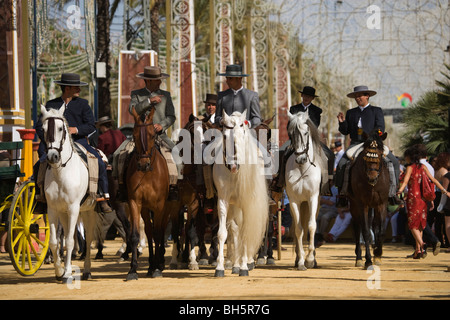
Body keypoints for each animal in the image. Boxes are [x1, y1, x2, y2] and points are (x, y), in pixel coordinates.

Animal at [40, 105, 99, 282]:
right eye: (43, 129)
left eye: (61, 128)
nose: (52, 156)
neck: (61, 173)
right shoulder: (52, 210)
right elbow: (55, 242)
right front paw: (60, 270)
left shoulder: (74, 209)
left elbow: (70, 241)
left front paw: (66, 272)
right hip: (65, 213)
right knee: (67, 236)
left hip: (88, 211)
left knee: (88, 237)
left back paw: (86, 270)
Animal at [125, 106, 173, 278]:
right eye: (134, 135)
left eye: (152, 134)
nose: (143, 164)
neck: (148, 174)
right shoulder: (135, 202)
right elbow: (136, 235)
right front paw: (133, 269)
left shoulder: (160, 205)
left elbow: (159, 234)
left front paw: (158, 267)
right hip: (146, 209)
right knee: (149, 231)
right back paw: (151, 265)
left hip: (167, 207)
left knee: (161, 229)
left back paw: (159, 262)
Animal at [211, 110, 268, 276]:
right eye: (225, 136)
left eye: (243, 134)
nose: (234, 165)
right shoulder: (223, 200)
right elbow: (223, 233)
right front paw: (220, 267)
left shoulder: (247, 202)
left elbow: (246, 232)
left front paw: (244, 267)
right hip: (234, 205)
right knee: (235, 231)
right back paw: (235, 264)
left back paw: (246, 262)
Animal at [286, 110, 326, 270]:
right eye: (290, 134)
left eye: (305, 132)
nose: (301, 159)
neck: (302, 169)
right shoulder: (294, 201)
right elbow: (298, 229)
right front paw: (302, 261)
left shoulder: (312, 198)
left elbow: (311, 226)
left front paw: (310, 259)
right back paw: (298, 258)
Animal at [348, 129, 390, 268]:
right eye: (366, 157)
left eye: (380, 156)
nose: (372, 178)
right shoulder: (363, 205)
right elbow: (366, 232)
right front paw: (368, 260)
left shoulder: (382, 204)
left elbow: (381, 231)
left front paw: (377, 252)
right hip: (354, 206)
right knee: (358, 227)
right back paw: (359, 258)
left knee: (375, 226)